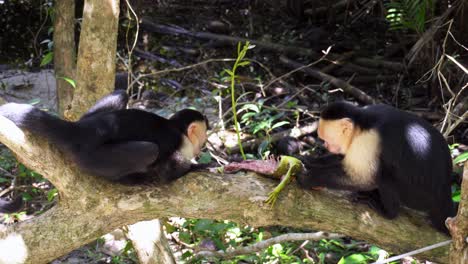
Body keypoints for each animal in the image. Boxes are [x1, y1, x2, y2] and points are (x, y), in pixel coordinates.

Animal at [0, 91, 208, 212]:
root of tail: (81, 130)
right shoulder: (179, 142)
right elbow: (167, 174)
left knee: (121, 93)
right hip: (92, 157)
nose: (203, 145)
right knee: (150, 150)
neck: (177, 128)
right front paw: (196, 167)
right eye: (204, 135)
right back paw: (132, 180)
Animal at [298, 100, 456, 233]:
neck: (361, 124)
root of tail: (445, 194)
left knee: (384, 175)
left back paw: (388, 212)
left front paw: (311, 178)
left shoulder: (368, 140)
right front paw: (310, 160)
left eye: (327, 140)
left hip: (419, 196)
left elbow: (363, 178)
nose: (325, 145)